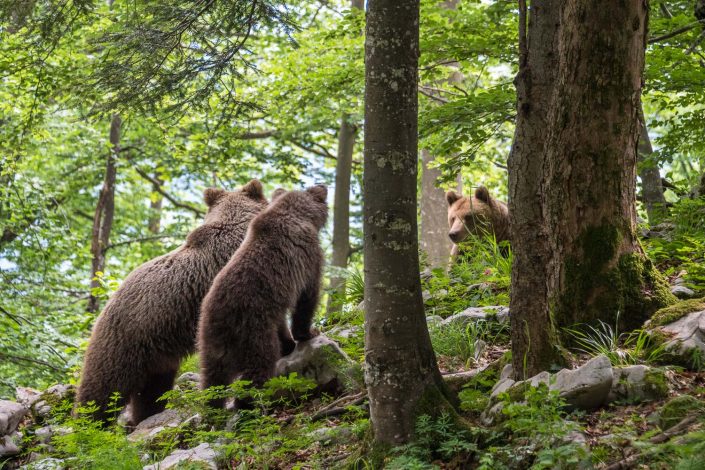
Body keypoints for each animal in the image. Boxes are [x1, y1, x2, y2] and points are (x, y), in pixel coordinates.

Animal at [75, 180, 286, 426]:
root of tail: (107, 304)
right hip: (122, 340)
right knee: (104, 387)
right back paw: (87, 424)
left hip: (156, 356)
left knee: (151, 392)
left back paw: (145, 417)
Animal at [197, 184, 328, 408]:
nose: (323, 186)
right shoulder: (308, 256)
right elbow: (307, 298)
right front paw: (308, 332)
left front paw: (290, 342)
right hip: (253, 329)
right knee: (259, 366)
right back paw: (251, 403)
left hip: (209, 342)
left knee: (213, 380)